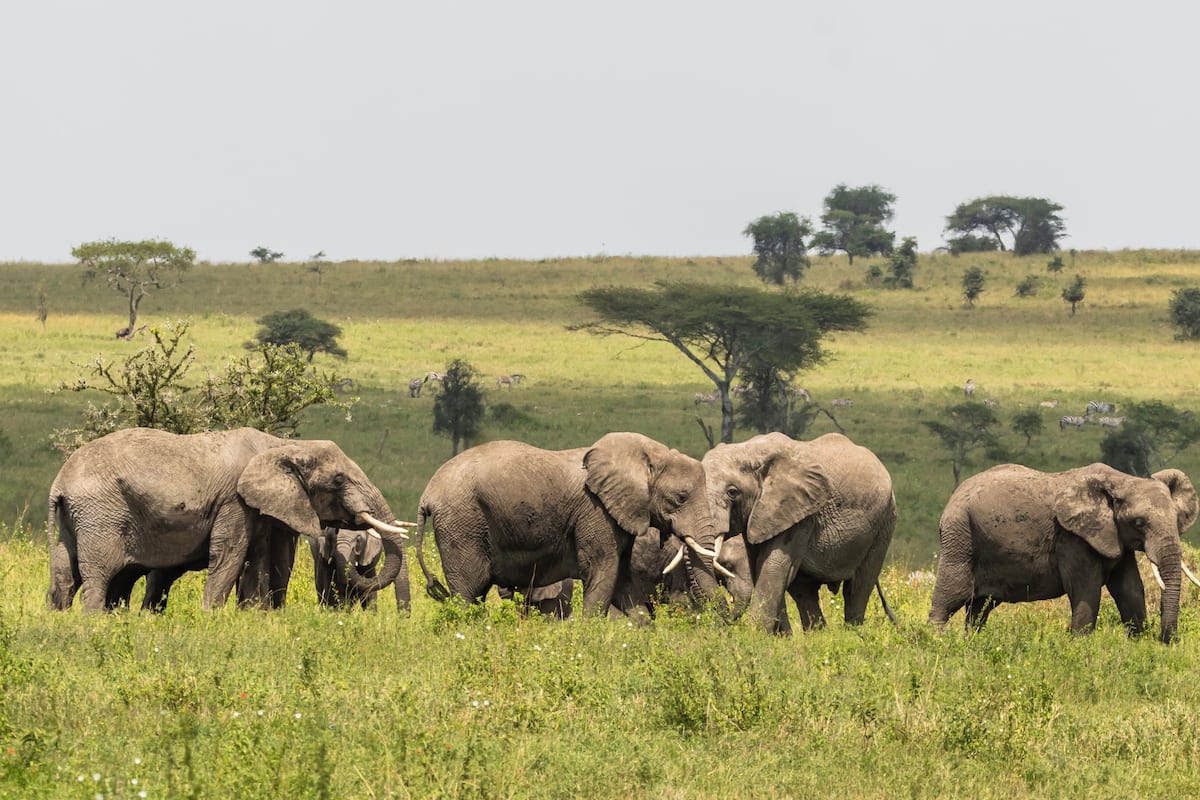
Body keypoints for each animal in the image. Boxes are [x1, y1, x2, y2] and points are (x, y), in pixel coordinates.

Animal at [47, 427, 409, 612]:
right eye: (338, 479)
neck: (282, 445)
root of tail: (60, 482)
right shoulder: (234, 501)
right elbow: (230, 556)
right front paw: (212, 618)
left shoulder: (260, 508)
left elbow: (256, 560)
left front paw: (250, 618)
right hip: (99, 514)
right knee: (98, 575)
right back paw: (94, 622)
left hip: (74, 519)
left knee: (65, 576)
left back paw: (60, 618)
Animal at [413, 432, 722, 618]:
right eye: (680, 497)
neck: (647, 454)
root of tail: (427, 494)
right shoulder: (596, 512)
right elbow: (602, 572)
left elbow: (622, 581)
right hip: (461, 523)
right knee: (468, 591)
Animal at [702, 432, 898, 634]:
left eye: (732, 492)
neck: (750, 450)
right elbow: (760, 567)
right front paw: (778, 637)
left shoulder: (800, 513)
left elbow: (773, 566)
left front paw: (756, 634)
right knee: (804, 591)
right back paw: (817, 635)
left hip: (884, 523)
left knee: (858, 586)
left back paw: (853, 634)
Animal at [927, 463, 1200, 643]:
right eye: (1139, 522)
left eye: (1176, 520)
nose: (1169, 640)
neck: (1121, 480)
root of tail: (953, 497)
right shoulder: (1072, 537)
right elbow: (1086, 589)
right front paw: (1079, 648)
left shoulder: (1114, 537)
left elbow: (1130, 589)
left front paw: (1138, 644)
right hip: (960, 535)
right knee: (953, 594)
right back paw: (935, 644)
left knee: (980, 607)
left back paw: (971, 645)